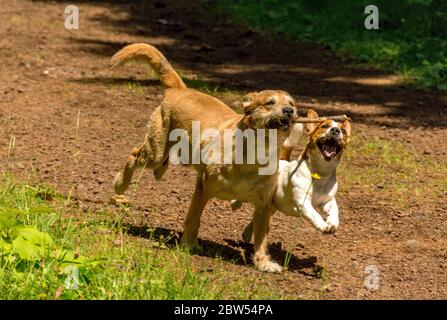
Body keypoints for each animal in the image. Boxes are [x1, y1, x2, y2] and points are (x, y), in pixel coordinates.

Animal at [236, 109, 352, 244]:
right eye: (324, 126)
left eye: (343, 130)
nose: (335, 130)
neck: (320, 174)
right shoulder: (303, 202)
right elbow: (315, 215)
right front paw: (323, 225)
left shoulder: (327, 201)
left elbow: (334, 210)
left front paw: (332, 223)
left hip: (272, 206)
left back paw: (247, 233)